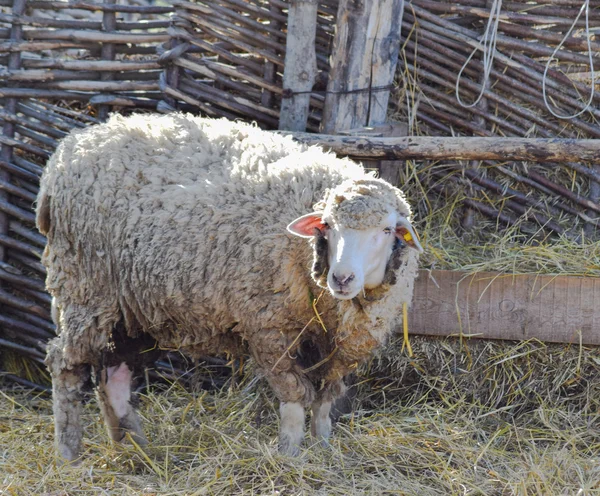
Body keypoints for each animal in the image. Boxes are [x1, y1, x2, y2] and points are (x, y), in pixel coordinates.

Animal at [37, 113, 422, 462]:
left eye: (387, 230)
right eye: (326, 226)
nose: (341, 278)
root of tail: (69, 148)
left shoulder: (336, 348)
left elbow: (326, 401)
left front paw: (324, 450)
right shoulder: (269, 327)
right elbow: (295, 398)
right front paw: (290, 457)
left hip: (134, 308)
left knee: (113, 375)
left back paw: (136, 451)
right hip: (85, 287)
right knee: (65, 365)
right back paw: (69, 454)